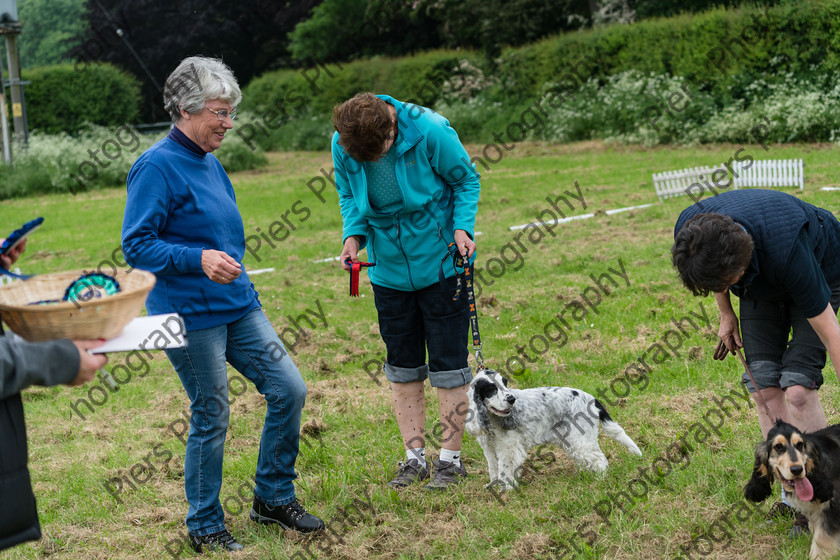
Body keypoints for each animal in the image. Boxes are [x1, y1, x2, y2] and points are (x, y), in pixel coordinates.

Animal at [466, 368, 644, 490]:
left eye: (504, 384)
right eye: (491, 388)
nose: (511, 399)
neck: (491, 419)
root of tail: (592, 399)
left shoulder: (508, 448)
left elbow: (505, 470)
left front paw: (506, 490)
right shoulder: (489, 449)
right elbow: (493, 469)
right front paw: (493, 486)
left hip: (581, 440)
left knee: (600, 460)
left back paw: (599, 481)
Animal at [744, 418, 840, 556]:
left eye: (800, 444)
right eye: (778, 446)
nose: (797, 469)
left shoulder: (833, 506)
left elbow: (822, 538)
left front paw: (819, 556)